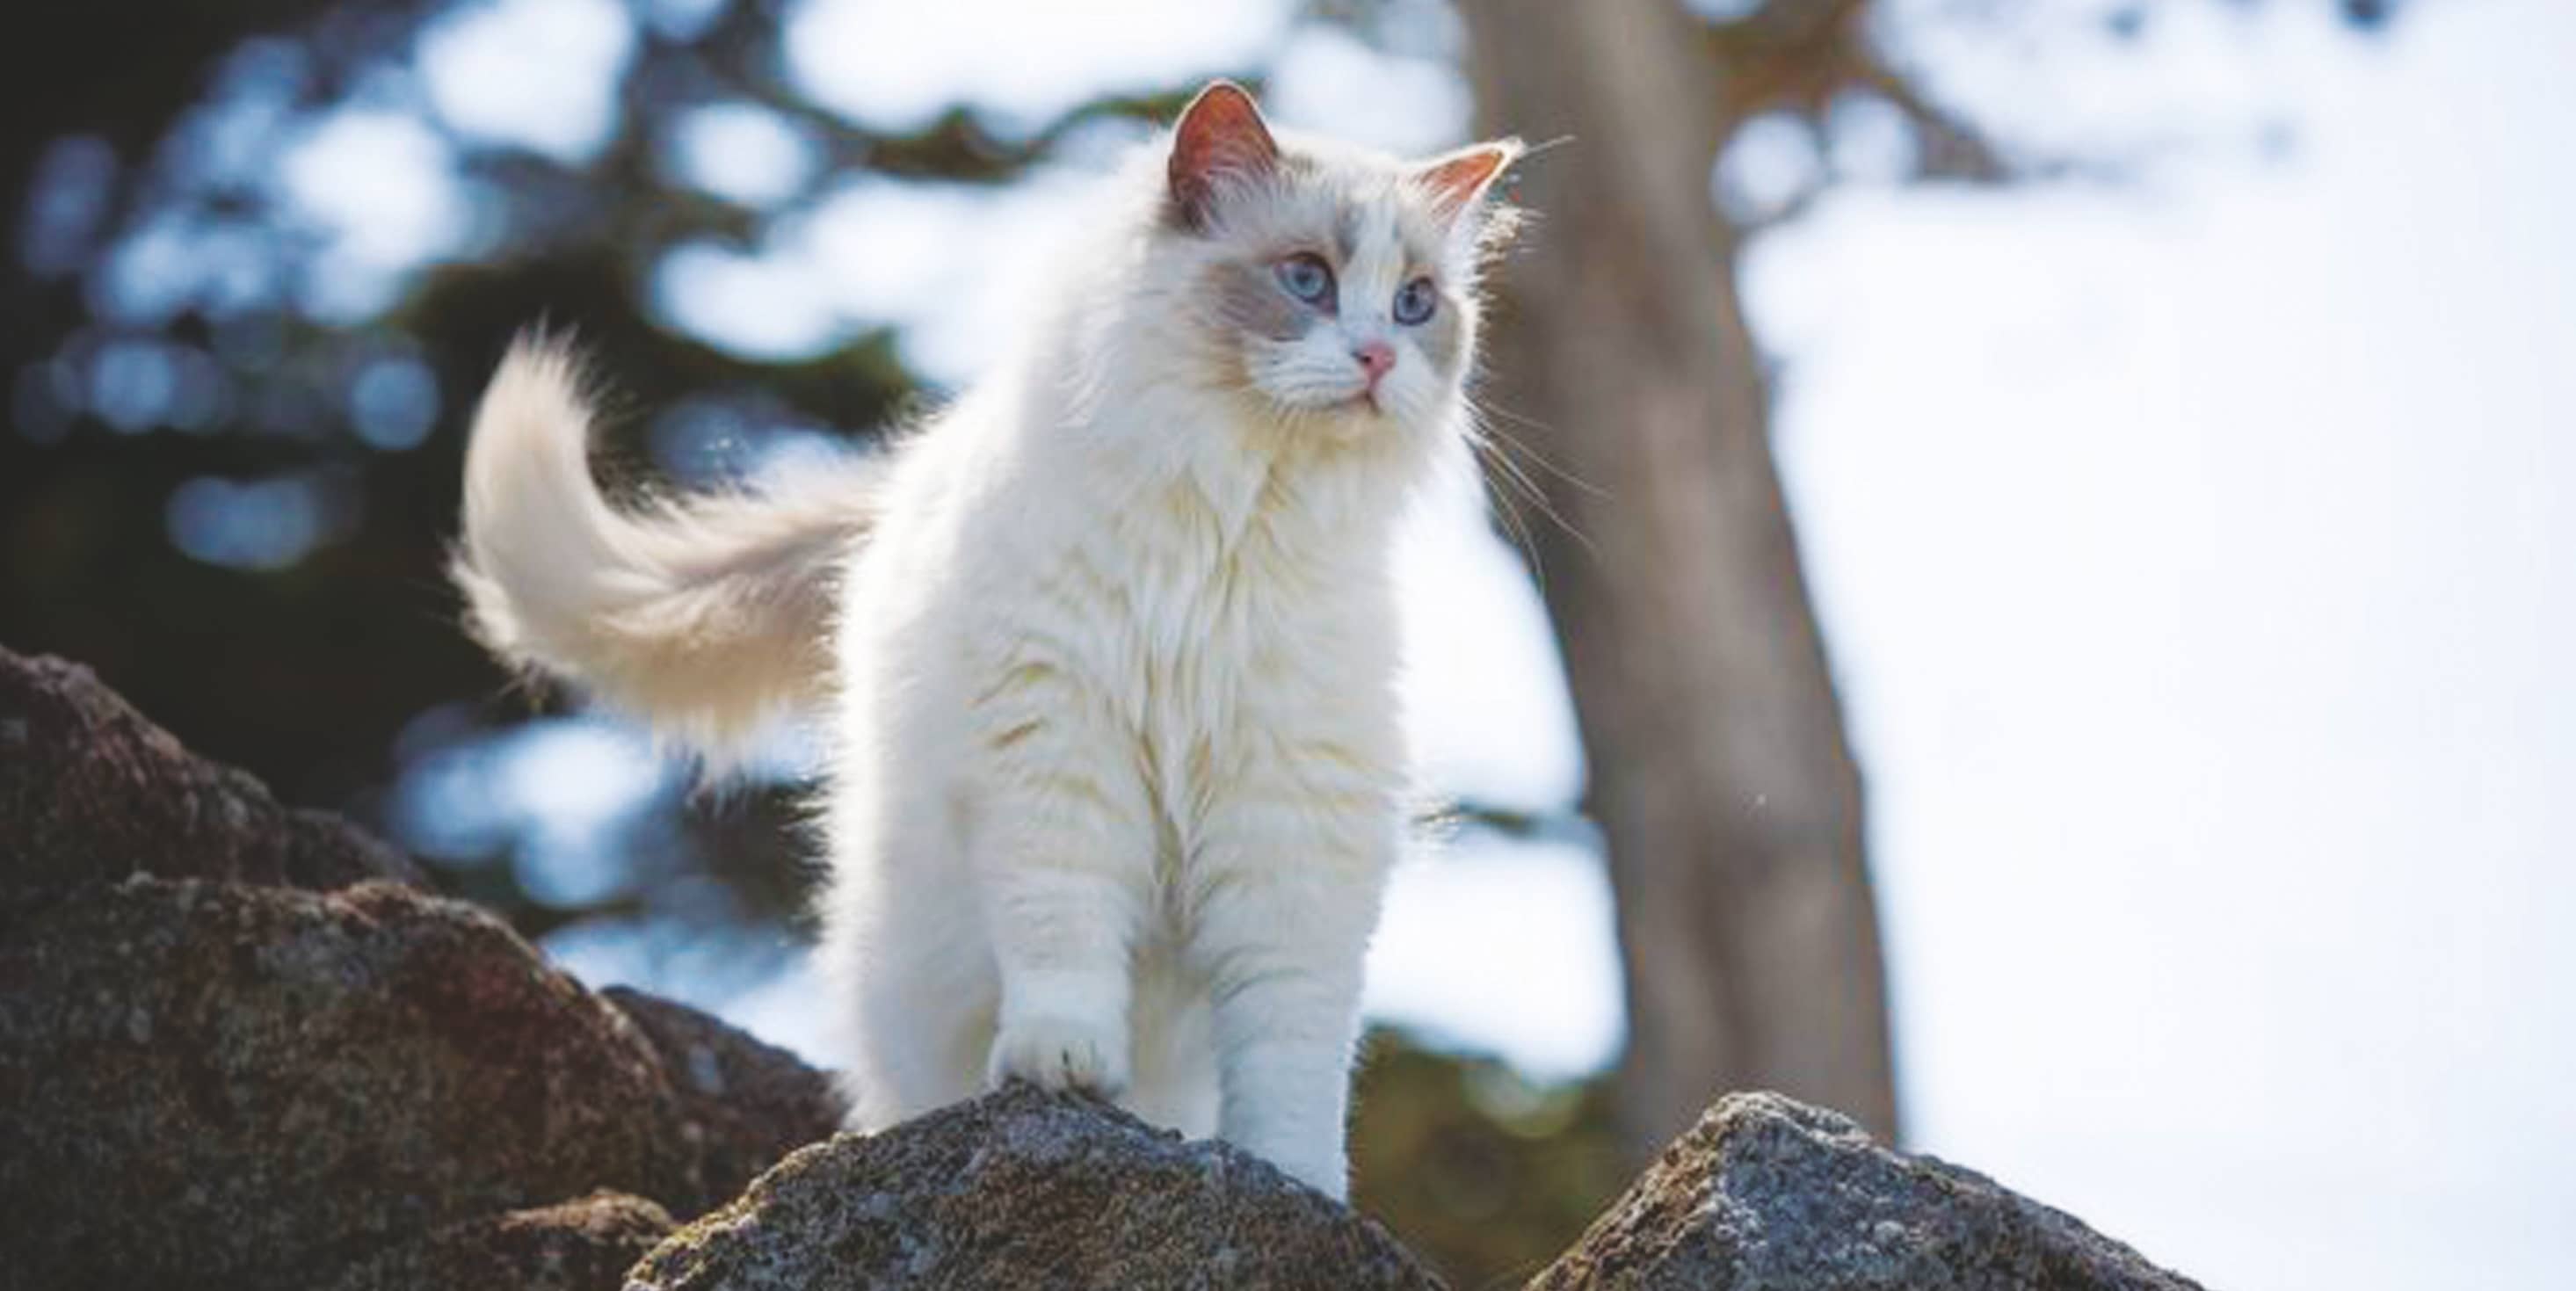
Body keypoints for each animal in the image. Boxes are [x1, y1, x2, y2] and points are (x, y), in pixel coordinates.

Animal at [453, 83, 1514, 1195]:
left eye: (1416, 303)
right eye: (1308, 279)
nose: (1380, 357)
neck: (1226, 528)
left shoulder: (1291, 830)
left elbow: (1291, 1049)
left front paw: (1296, 1178)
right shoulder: (1053, 754)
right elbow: (1064, 935)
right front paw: (1065, 1065)